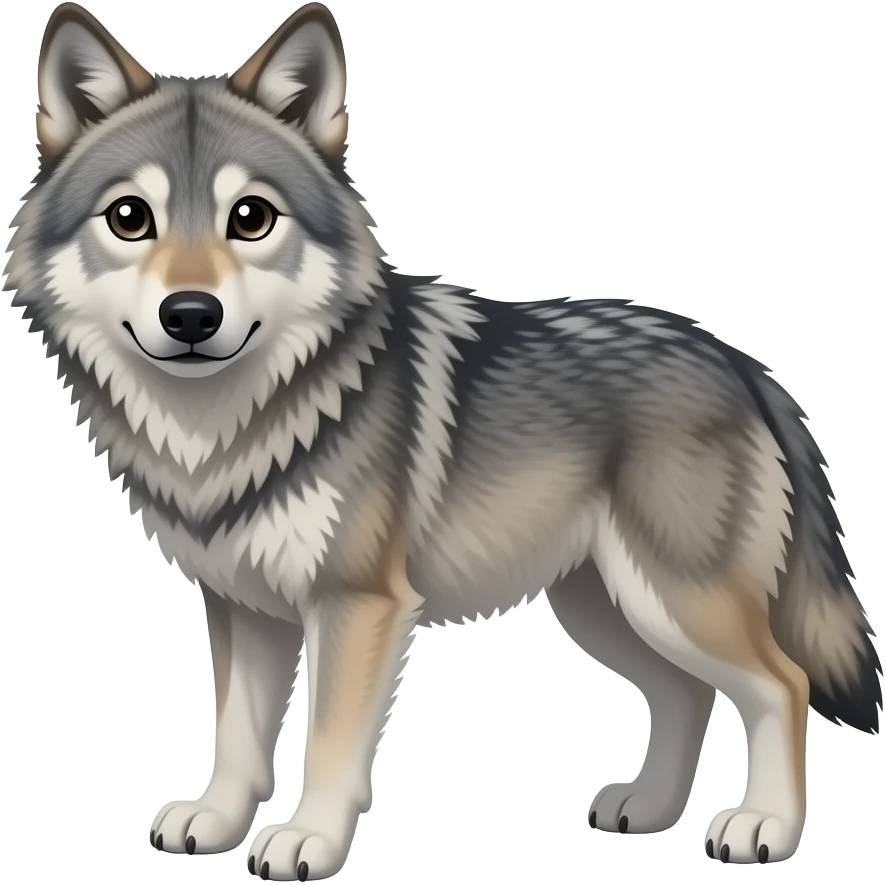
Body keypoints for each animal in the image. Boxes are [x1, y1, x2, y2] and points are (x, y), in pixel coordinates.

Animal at [3, 1, 881, 879]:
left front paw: (307, 838)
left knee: (781, 682)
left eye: (249, 217)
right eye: (130, 217)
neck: (224, 425)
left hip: (672, 598)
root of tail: (739, 361)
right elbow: (238, 737)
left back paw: (763, 826)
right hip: (604, 606)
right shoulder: (243, 607)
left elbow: (328, 742)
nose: (190, 315)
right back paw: (648, 808)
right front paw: (217, 821)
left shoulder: (357, 604)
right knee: (685, 691)